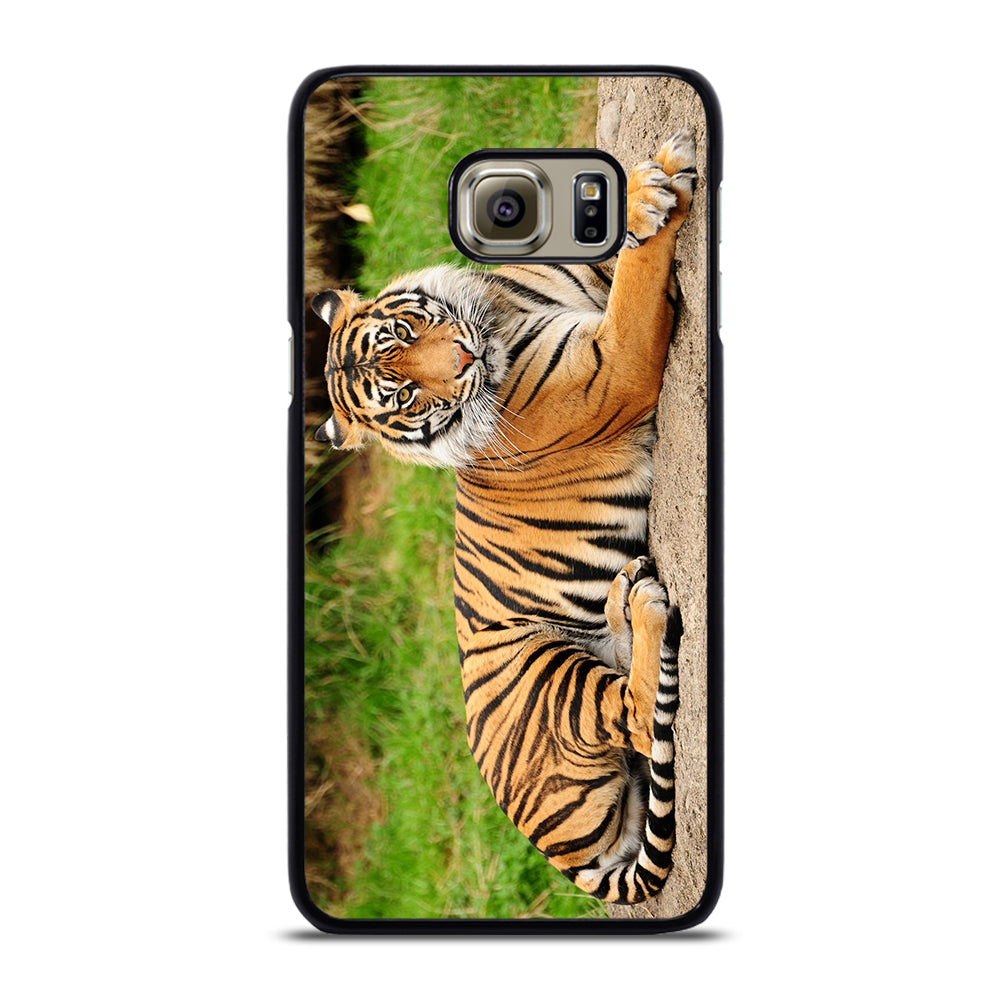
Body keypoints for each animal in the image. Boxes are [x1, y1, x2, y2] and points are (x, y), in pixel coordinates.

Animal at [312, 131, 697, 904]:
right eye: (401, 395)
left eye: (403, 330)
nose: (463, 359)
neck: (498, 312)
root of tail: (563, 857)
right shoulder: (615, 366)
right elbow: (638, 278)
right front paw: (653, 194)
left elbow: (610, 249)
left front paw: (639, 191)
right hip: (544, 672)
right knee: (640, 717)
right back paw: (642, 606)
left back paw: (624, 596)